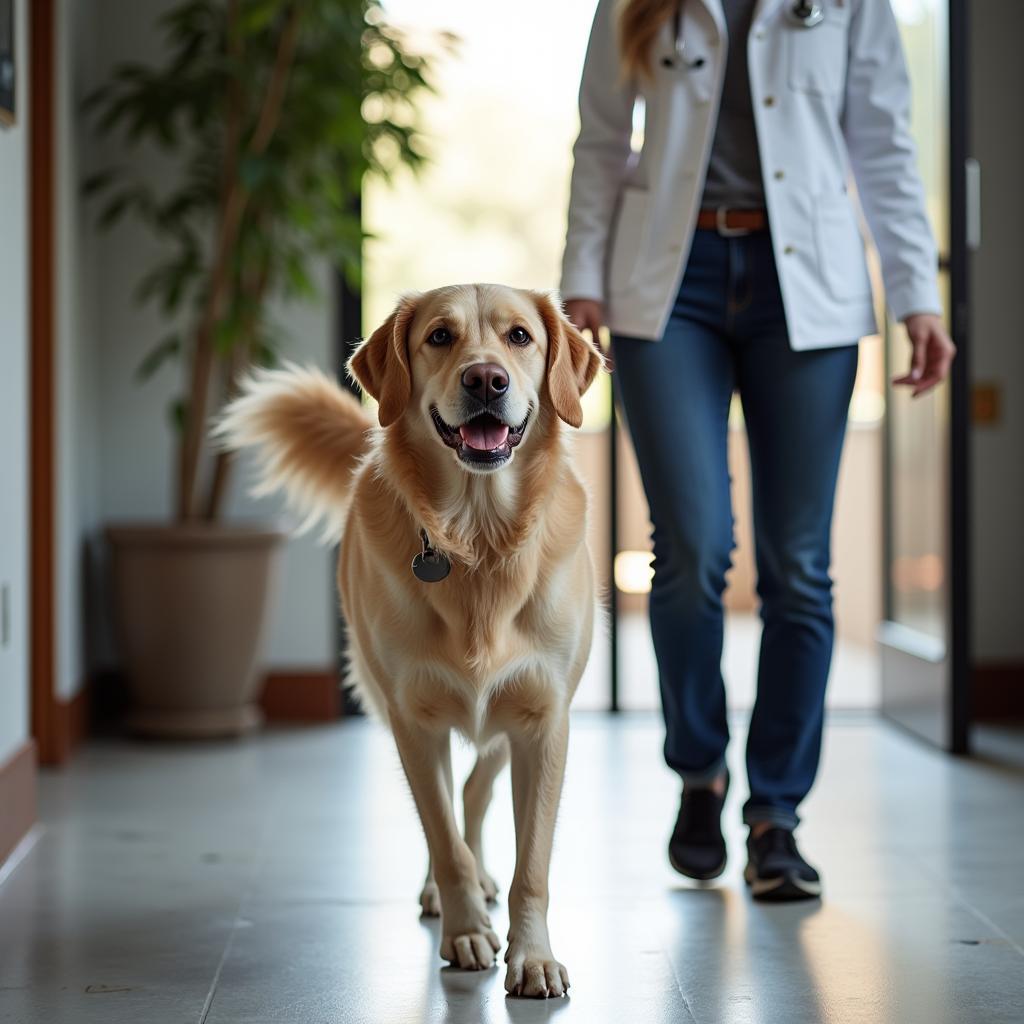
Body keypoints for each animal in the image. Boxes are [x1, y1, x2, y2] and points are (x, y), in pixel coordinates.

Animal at [218, 284, 598, 995]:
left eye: (520, 337)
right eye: (440, 337)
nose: (486, 379)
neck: (477, 539)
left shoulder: (544, 718)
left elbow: (532, 863)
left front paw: (532, 954)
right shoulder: (413, 718)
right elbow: (442, 838)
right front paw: (467, 929)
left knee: (474, 791)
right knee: (444, 811)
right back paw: (448, 895)